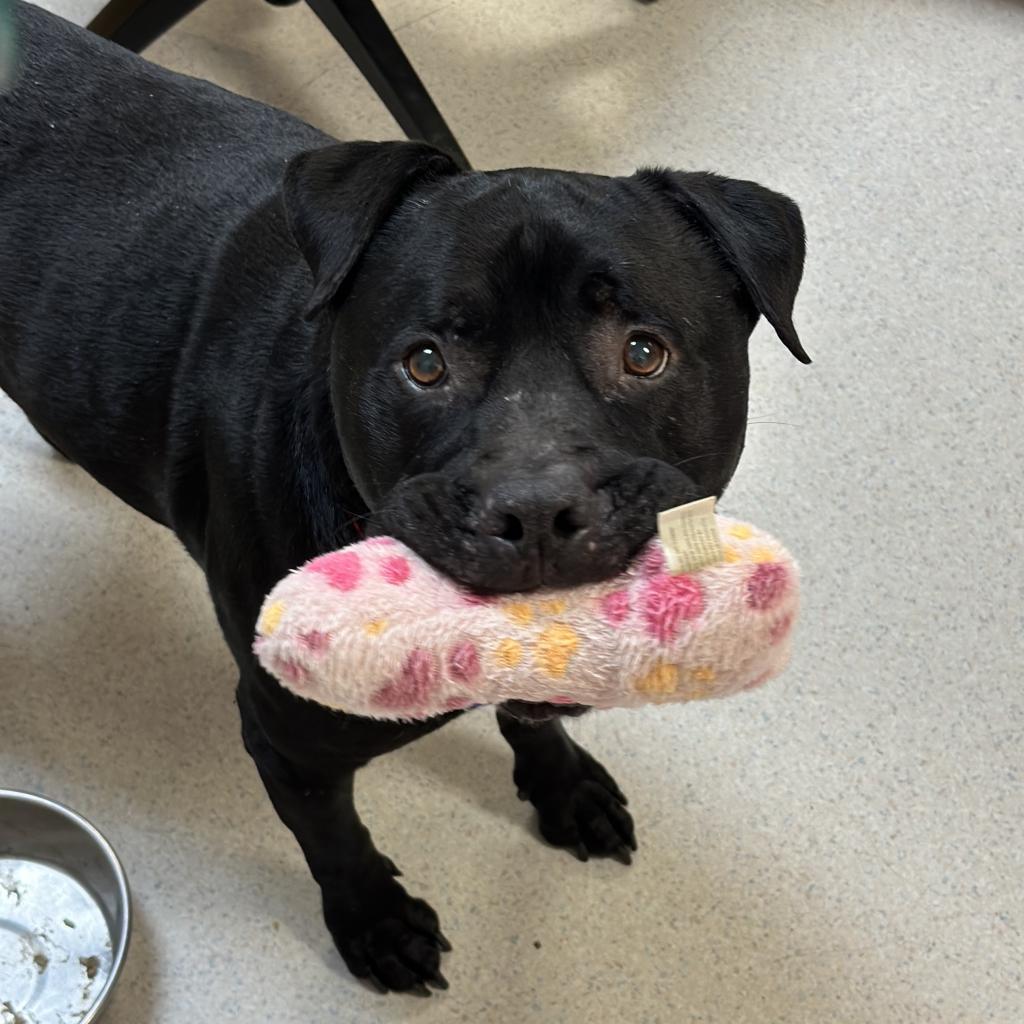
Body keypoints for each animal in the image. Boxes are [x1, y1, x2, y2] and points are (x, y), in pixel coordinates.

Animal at [2, 0, 806, 991]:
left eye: (644, 351)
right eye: (425, 363)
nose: (534, 509)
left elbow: (529, 716)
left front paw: (563, 785)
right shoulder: (289, 741)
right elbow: (336, 839)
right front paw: (375, 922)